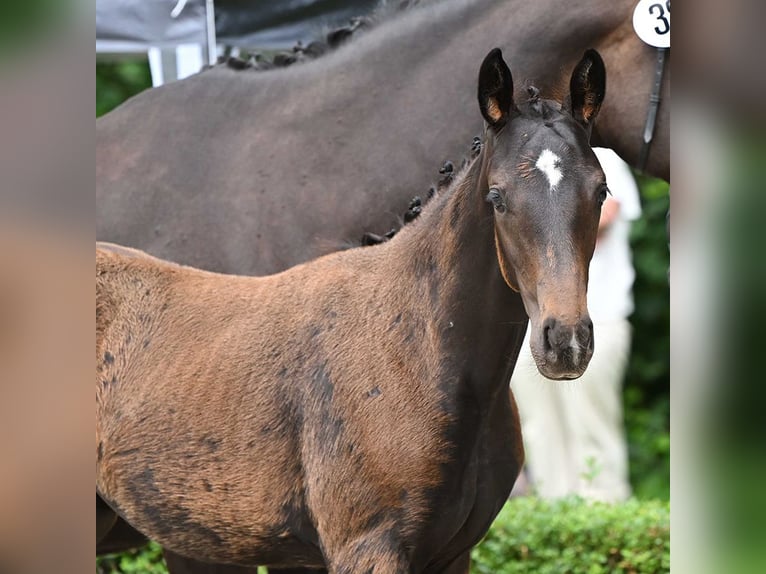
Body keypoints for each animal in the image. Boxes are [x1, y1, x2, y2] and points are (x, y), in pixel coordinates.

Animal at [96, 50, 608, 574]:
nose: (565, 342)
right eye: (498, 197)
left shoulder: (453, 554)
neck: (419, 346)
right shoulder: (368, 547)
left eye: (601, 191)